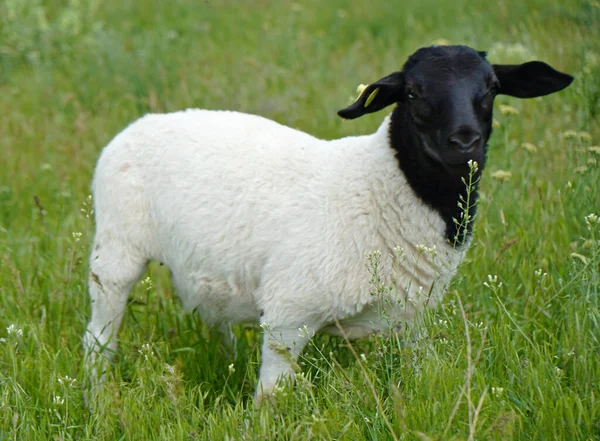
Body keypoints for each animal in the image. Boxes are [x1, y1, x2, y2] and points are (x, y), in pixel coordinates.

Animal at [83, 45, 572, 402]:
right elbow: (271, 399)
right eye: (412, 92)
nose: (464, 141)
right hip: (116, 252)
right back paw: (96, 397)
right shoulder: (289, 315)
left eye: (492, 87)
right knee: (98, 338)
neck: (378, 187)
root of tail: (145, 121)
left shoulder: (414, 322)